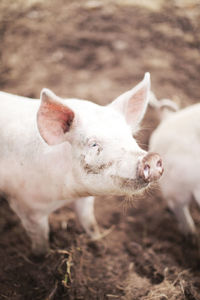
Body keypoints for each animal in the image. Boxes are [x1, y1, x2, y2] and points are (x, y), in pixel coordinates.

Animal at [0, 74, 162, 254]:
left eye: (130, 137)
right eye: (93, 144)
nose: (151, 158)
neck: (65, 195)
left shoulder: (85, 200)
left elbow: (89, 221)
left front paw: (99, 244)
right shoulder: (26, 206)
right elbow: (41, 238)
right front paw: (41, 256)